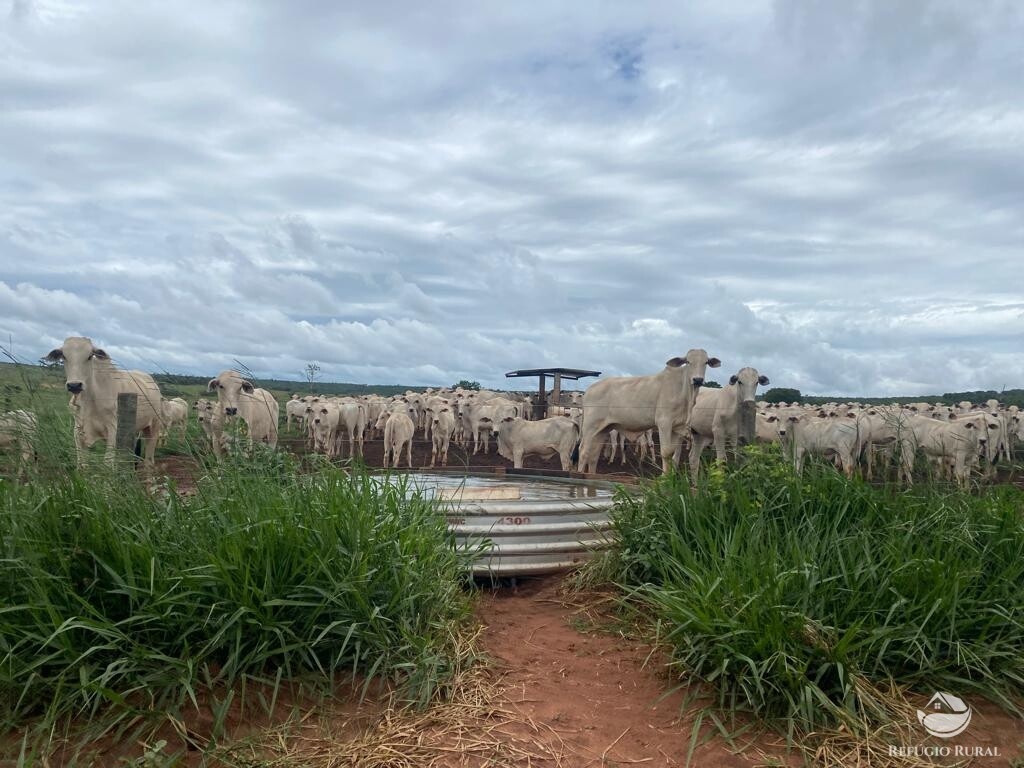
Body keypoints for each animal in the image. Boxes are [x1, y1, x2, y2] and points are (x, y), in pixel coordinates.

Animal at [45, 337, 161, 468]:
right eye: (64, 356)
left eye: (90, 356)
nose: (74, 385)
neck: (90, 400)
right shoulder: (78, 431)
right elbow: (81, 463)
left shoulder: (113, 429)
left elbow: (108, 462)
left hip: (153, 426)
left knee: (149, 455)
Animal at [577, 350, 720, 475]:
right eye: (688, 361)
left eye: (706, 362)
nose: (697, 380)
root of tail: (588, 391)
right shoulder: (664, 423)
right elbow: (666, 452)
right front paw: (664, 479)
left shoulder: (675, 427)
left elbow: (672, 453)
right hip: (590, 427)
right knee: (583, 451)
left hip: (603, 429)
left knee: (594, 455)